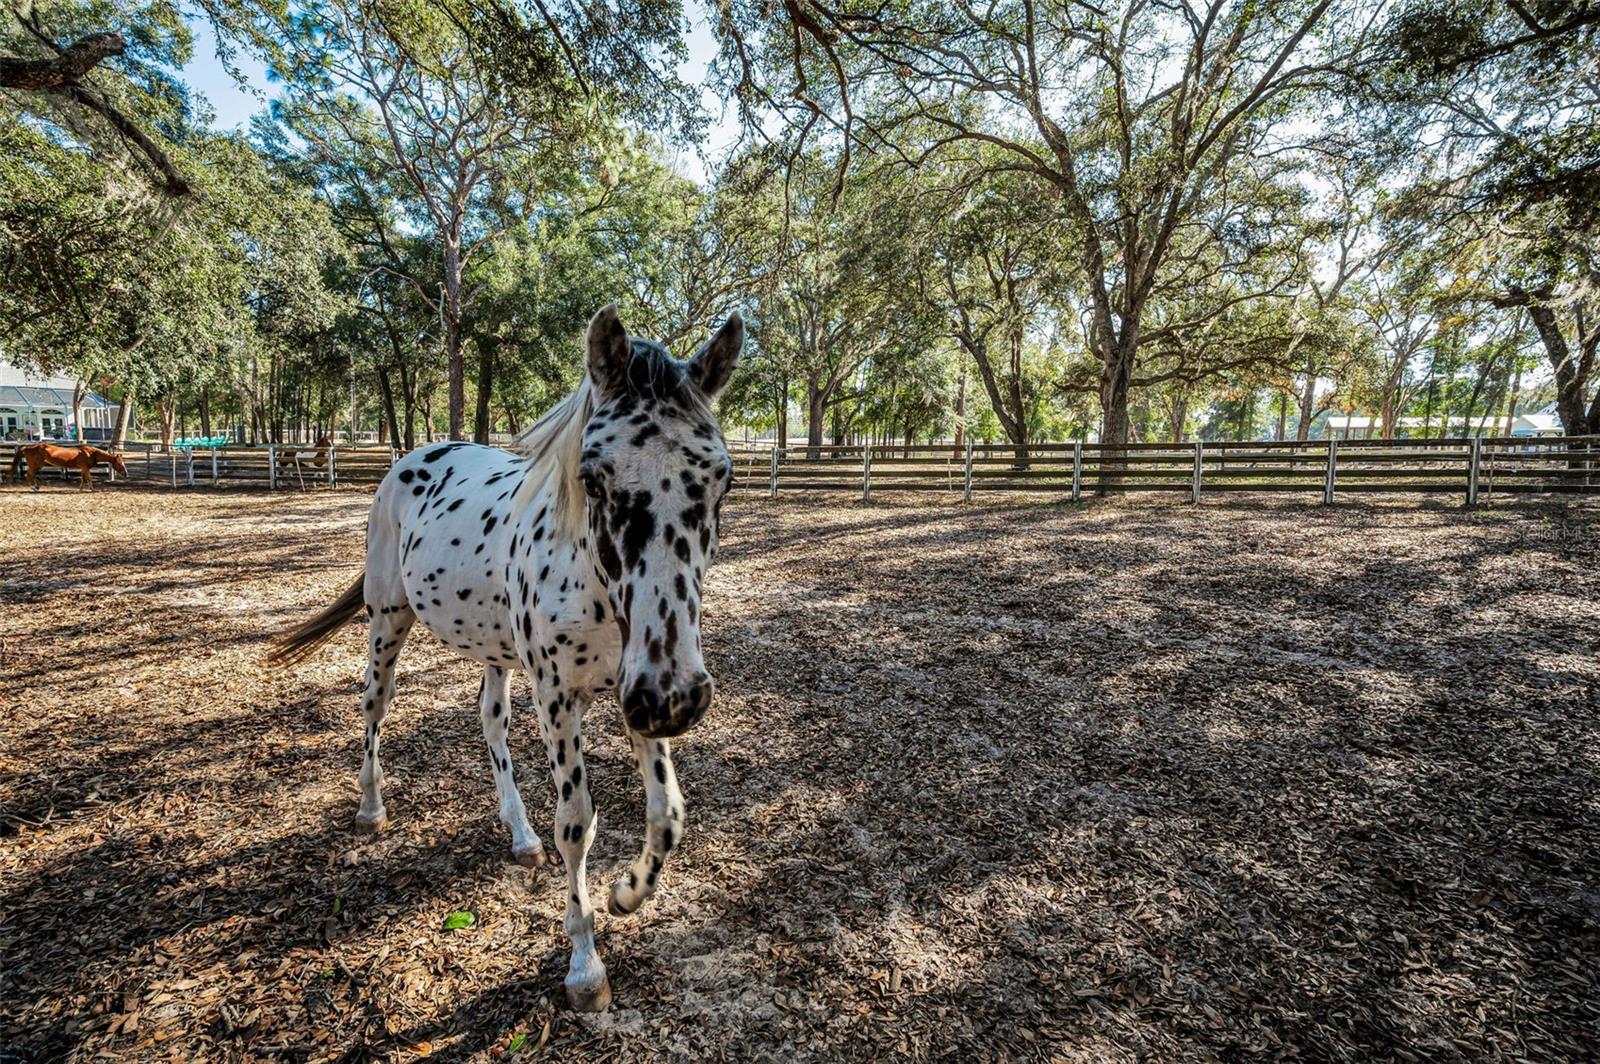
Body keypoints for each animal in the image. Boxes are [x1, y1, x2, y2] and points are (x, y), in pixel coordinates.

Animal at [272, 307, 745, 1011]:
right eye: (591, 476)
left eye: (722, 478)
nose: (677, 698)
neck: (594, 584)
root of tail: (414, 457)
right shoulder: (562, 699)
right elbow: (576, 823)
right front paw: (585, 967)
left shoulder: (638, 691)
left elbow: (668, 815)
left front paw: (627, 893)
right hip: (387, 621)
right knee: (374, 709)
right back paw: (371, 808)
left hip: (494, 649)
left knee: (490, 719)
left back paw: (520, 836)